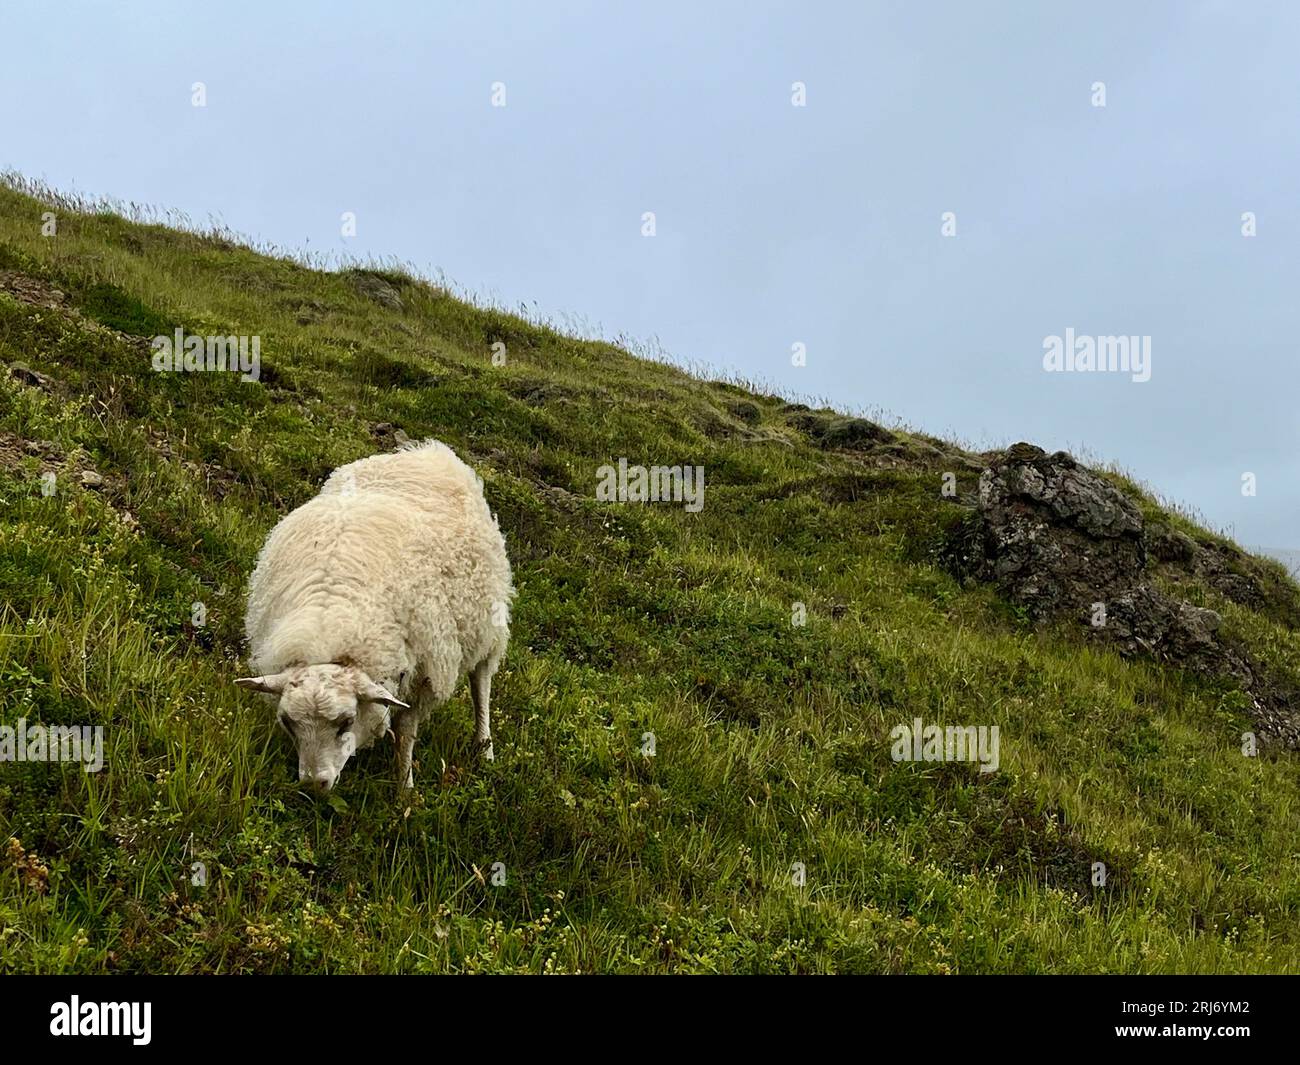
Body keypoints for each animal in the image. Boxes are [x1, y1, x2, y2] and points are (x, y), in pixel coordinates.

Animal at [236, 436, 509, 795]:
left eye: (346, 722)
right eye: (288, 723)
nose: (314, 784)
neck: (330, 625)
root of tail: (426, 451)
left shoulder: (424, 671)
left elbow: (406, 731)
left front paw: (405, 787)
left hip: (488, 625)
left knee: (481, 683)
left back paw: (484, 748)